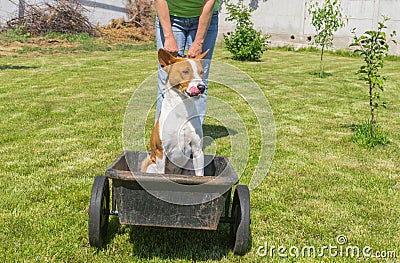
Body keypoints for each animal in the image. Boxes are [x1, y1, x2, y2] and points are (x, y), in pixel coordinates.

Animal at [141, 49, 209, 177]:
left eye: (202, 72)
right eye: (185, 71)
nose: (202, 87)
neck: (182, 110)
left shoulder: (197, 150)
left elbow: (200, 175)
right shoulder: (161, 152)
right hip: (151, 166)